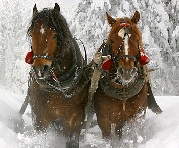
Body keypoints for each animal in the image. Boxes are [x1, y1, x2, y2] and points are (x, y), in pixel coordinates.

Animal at [27, 3, 90, 147]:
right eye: (32, 35)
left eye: (55, 36)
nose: (40, 69)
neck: (58, 88)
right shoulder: (40, 118)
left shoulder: (75, 119)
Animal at [92, 11, 148, 140]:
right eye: (112, 40)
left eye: (136, 39)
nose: (126, 71)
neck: (122, 89)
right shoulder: (103, 118)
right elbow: (107, 136)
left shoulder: (138, 114)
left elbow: (134, 135)